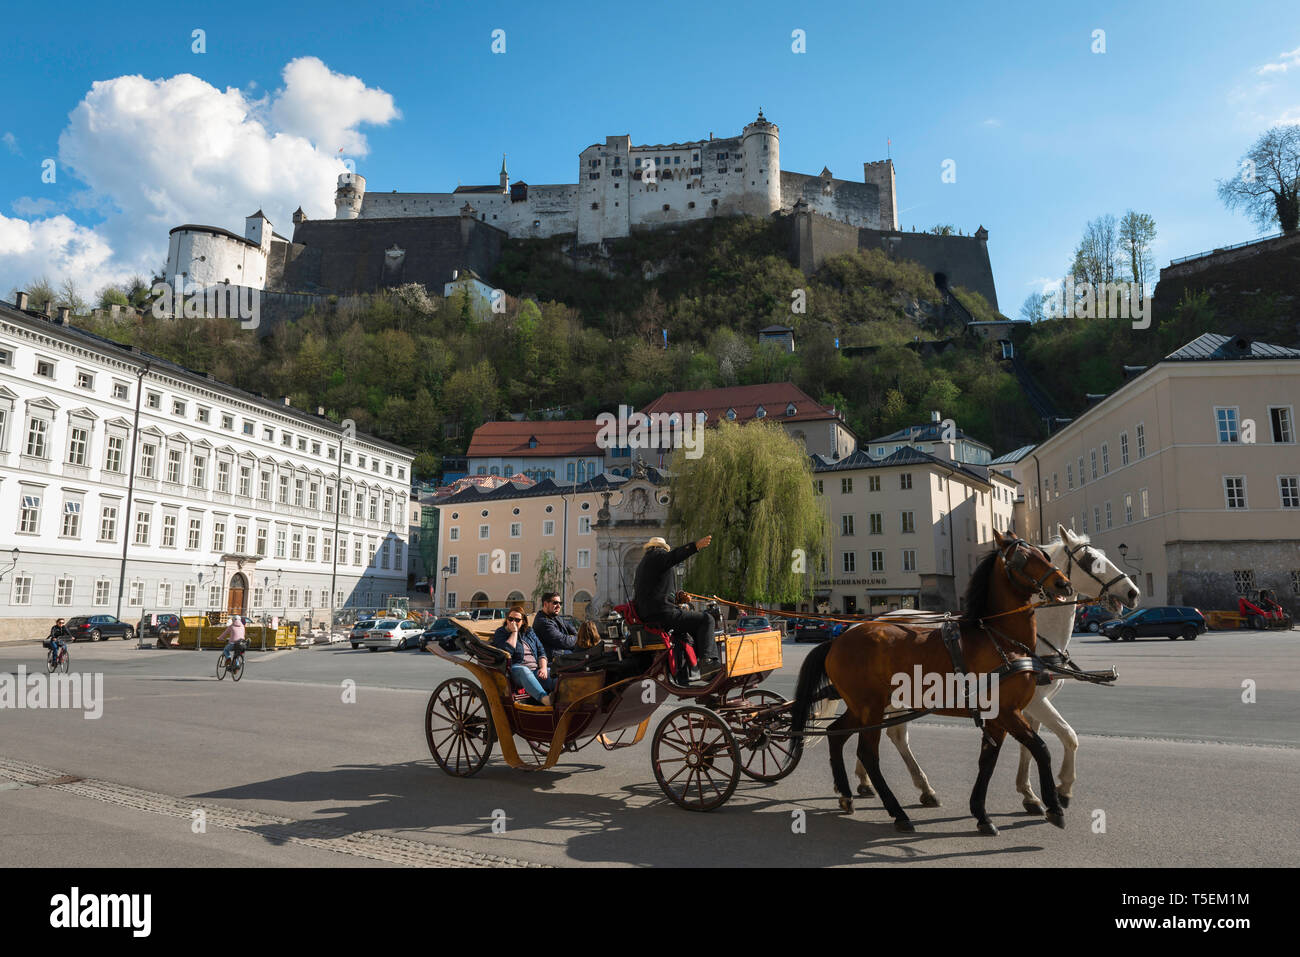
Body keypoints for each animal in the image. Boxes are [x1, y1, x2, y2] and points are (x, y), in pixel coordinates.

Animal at [785, 527, 1071, 832]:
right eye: (1022, 559)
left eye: (1043, 555)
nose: (1063, 584)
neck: (999, 638)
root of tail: (837, 639)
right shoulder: (1007, 712)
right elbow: (1041, 749)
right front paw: (1054, 805)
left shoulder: (998, 717)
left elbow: (987, 761)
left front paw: (981, 813)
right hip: (870, 709)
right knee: (868, 754)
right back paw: (897, 812)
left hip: (862, 707)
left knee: (836, 735)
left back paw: (847, 794)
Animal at [852, 527, 1138, 811]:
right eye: (1092, 561)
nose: (1133, 592)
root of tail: (870, 621)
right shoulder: (1035, 702)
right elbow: (1068, 736)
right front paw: (1064, 789)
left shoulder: (1027, 704)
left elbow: (1029, 746)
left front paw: (1028, 792)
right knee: (887, 733)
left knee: (889, 732)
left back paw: (886, 783)